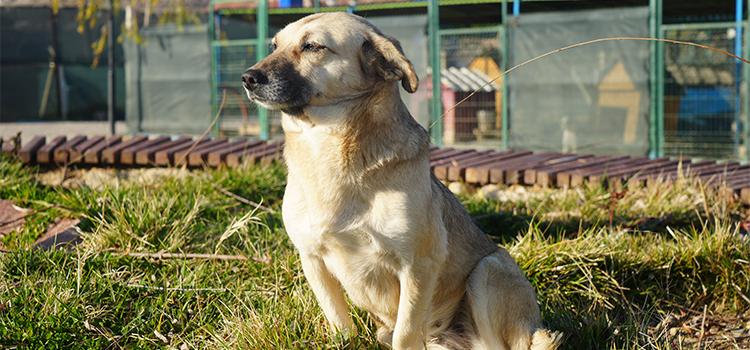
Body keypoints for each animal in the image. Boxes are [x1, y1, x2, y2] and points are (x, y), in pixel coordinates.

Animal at [244, 11, 560, 350]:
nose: (248, 78)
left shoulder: (418, 265)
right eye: (274, 45)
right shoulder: (312, 258)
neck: (329, 151)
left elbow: (406, 332)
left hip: (489, 270)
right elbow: (339, 320)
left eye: (312, 46)